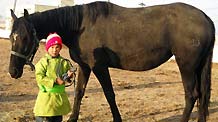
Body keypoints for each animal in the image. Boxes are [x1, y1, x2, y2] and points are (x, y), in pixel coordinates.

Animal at [8, 1, 215, 121]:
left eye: (26, 38)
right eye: (11, 36)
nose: (13, 71)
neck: (81, 26)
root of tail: (205, 17)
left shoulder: (99, 67)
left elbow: (109, 94)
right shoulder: (84, 67)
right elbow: (79, 92)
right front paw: (72, 118)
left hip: (186, 66)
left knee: (191, 95)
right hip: (198, 66)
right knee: (202, 95)